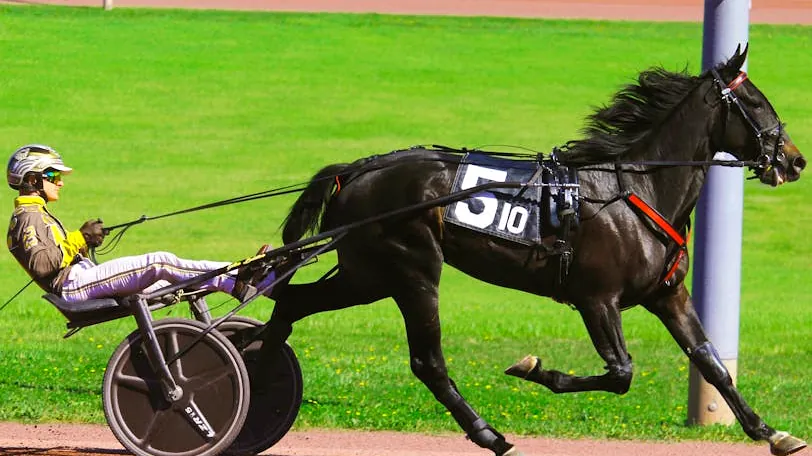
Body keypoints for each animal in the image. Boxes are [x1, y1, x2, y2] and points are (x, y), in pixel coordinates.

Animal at [261, 46, 807, 456]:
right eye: (758, 103)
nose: (795, 160)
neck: (638, 190)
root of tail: (357, 169)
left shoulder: (667, 295)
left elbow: (710, 360)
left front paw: (770, 432)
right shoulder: (597, 299)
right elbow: (621, 373)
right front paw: (533, 368)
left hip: (366, 275)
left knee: (292, 302)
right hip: (410, 271)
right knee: (427, 361)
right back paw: (490, 434)